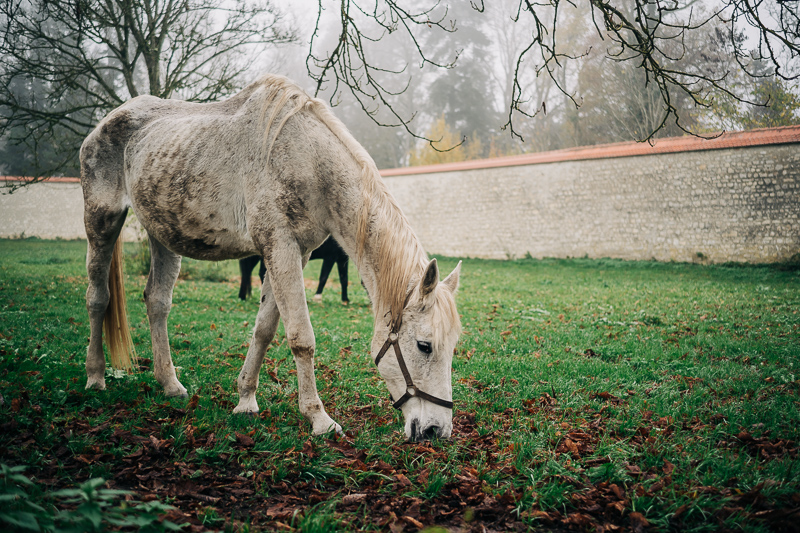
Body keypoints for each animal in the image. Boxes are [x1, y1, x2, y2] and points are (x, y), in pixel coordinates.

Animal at [81, 75, 462, 440]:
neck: (307, 158)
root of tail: (106, 123)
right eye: (424, 346)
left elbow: (264, 329)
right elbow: (301, 337)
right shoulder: (280, 247)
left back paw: (170, 385)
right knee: (97, 298)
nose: (436, 430)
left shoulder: (296, 254)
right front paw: (319, 418)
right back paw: (95, 378)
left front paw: (246, 399)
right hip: (101, 223)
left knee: (157, 302)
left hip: (163, 236)